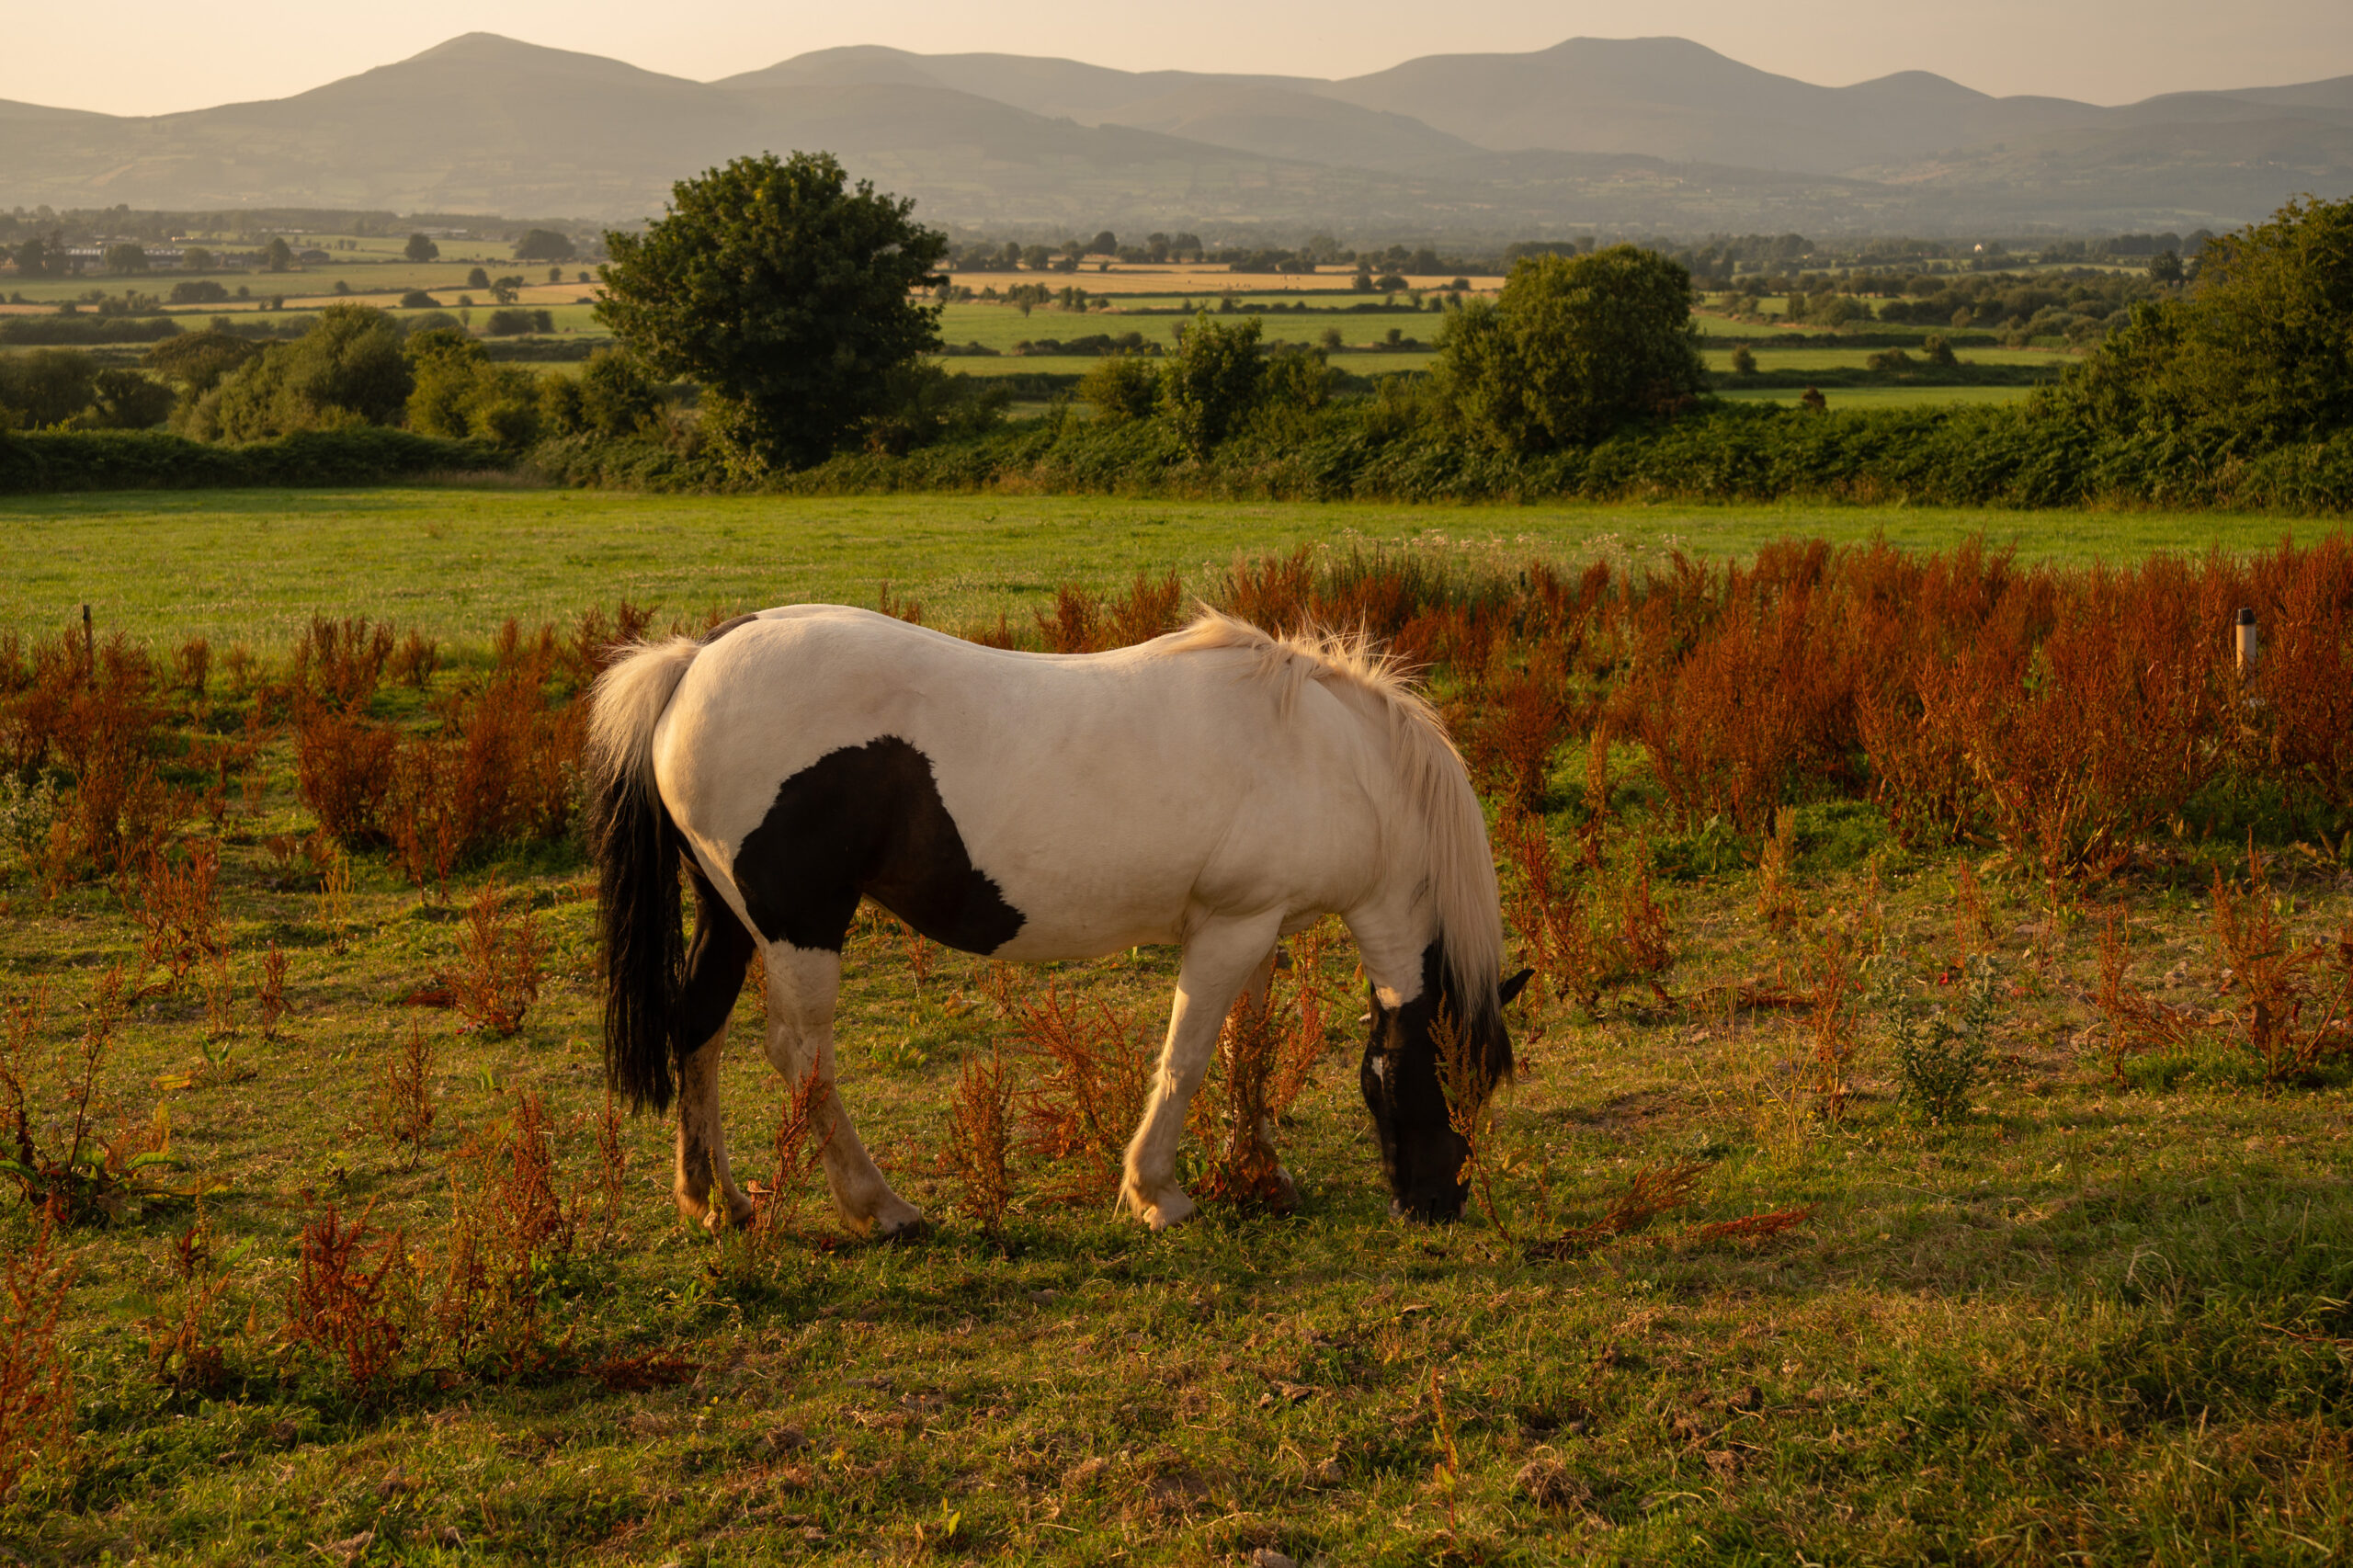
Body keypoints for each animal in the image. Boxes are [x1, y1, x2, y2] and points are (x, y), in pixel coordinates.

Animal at [586, 602, 1532, 1235]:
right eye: (1452, 1074)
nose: (1439, 1204)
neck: (1325, 754)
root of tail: (695, 660)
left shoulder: (1260, 928)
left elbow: (1245, 1052)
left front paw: (1259, 1173)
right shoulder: (1227, 929)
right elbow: (1187, 1057)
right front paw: (1157, 1193)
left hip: (730, 918)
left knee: (698, 1028)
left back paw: (715, 1199)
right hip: (800, 927)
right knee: (800, 1055)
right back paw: (879, 1207)